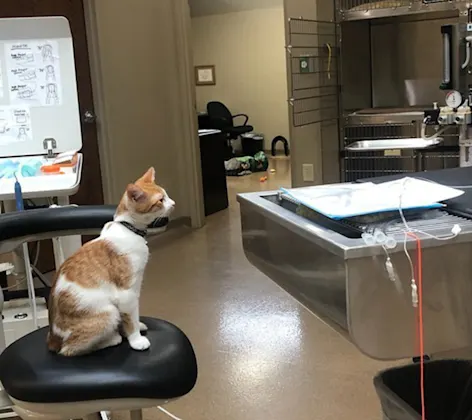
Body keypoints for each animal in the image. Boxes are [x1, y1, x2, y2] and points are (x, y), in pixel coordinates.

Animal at [46, 169, 175, 356]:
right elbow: (130, 318)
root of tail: (52, 339)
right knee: (69, 349)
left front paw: (135, 327)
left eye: (166, 195)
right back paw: (111, 339)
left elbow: (132, 316)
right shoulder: (127, 292)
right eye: (160, 200)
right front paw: (135, 339)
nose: (173, 203)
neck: (129, 229)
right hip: (107, 312)